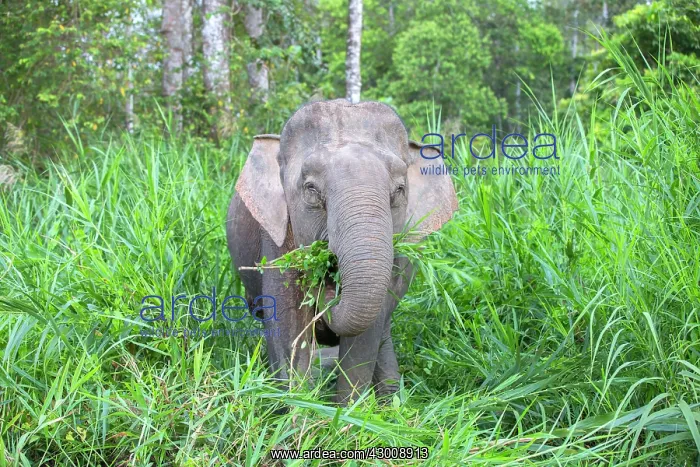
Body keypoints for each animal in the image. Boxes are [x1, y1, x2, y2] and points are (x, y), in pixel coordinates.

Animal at [226, 99, 458, 404]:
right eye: (311, 189)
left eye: (399, 190)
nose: (327, 284)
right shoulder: (277, 236)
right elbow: (288, 325)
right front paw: (298, 407)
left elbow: (366, 333)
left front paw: (348, 412)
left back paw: (391, 404)